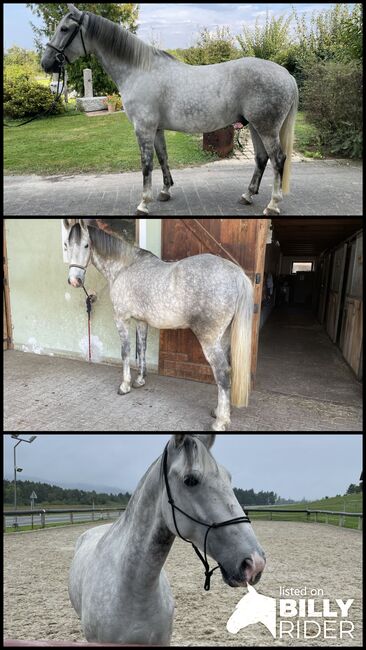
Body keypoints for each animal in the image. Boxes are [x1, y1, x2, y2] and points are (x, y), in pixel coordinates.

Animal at [43, 3, 298, 215]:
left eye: (64, 29)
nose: (46, 63)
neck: (139, 70)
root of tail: (286, 75)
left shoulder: (143, 128)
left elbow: (146, 164)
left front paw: (143, 203)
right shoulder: (156, 129)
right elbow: (163, 157)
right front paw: (165, 191)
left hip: (266, 128)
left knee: (277, 159)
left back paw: (272, 205)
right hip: (255, 126)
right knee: (261, 158)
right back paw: (247, 195)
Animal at [63, 219, 252, 430]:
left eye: (86, 245)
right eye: (66, 245)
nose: (74, 280)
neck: (124, 267)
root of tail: (236, 274)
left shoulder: (122, 318)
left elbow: (126, 351)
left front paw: (125, 385)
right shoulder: (141, 321)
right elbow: (142, 348)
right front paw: (140, 380)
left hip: (209, 339)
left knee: (222, 372)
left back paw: (221, 421)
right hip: (224, 337)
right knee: (227, 369)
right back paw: (219, 411)